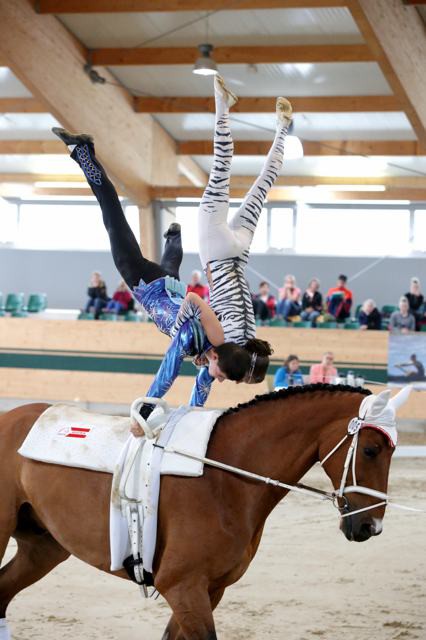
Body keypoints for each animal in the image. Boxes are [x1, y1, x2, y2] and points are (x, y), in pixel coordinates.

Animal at [0, 384, 402, 640]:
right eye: (370, 450)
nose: (371, 525)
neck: (225, 478)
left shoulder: (211, 589)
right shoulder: (183, 587)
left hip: (45, 548)